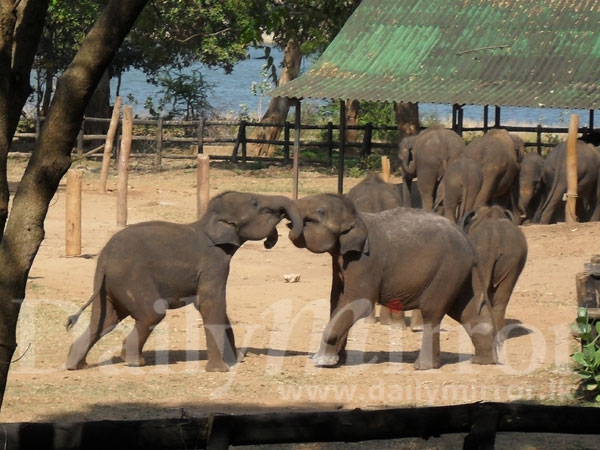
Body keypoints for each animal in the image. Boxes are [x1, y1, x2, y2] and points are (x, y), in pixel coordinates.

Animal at [65, 192, 302, 370]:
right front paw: (220, 370)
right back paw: (133, 361)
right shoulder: (214, 263)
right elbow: (210, 304)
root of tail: (104, 257)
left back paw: (76, 365)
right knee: (151, 313)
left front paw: (235, 361)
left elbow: (216, 307)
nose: (286, 230)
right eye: (258, 205)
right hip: (131, 280)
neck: (208, 223)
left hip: (108, 287)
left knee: (104, 321)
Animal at [290, 195, 496, 370]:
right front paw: (336, 360)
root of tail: (467, 240)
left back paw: (423, 367)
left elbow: (358, 302)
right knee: (466, 311)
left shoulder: (364, 262)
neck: (358, 217)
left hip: (447, 271)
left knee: (433, 313)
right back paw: (483, 362)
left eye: (320, 212)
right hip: (459, 273)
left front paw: (321, 362)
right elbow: (337, 301)